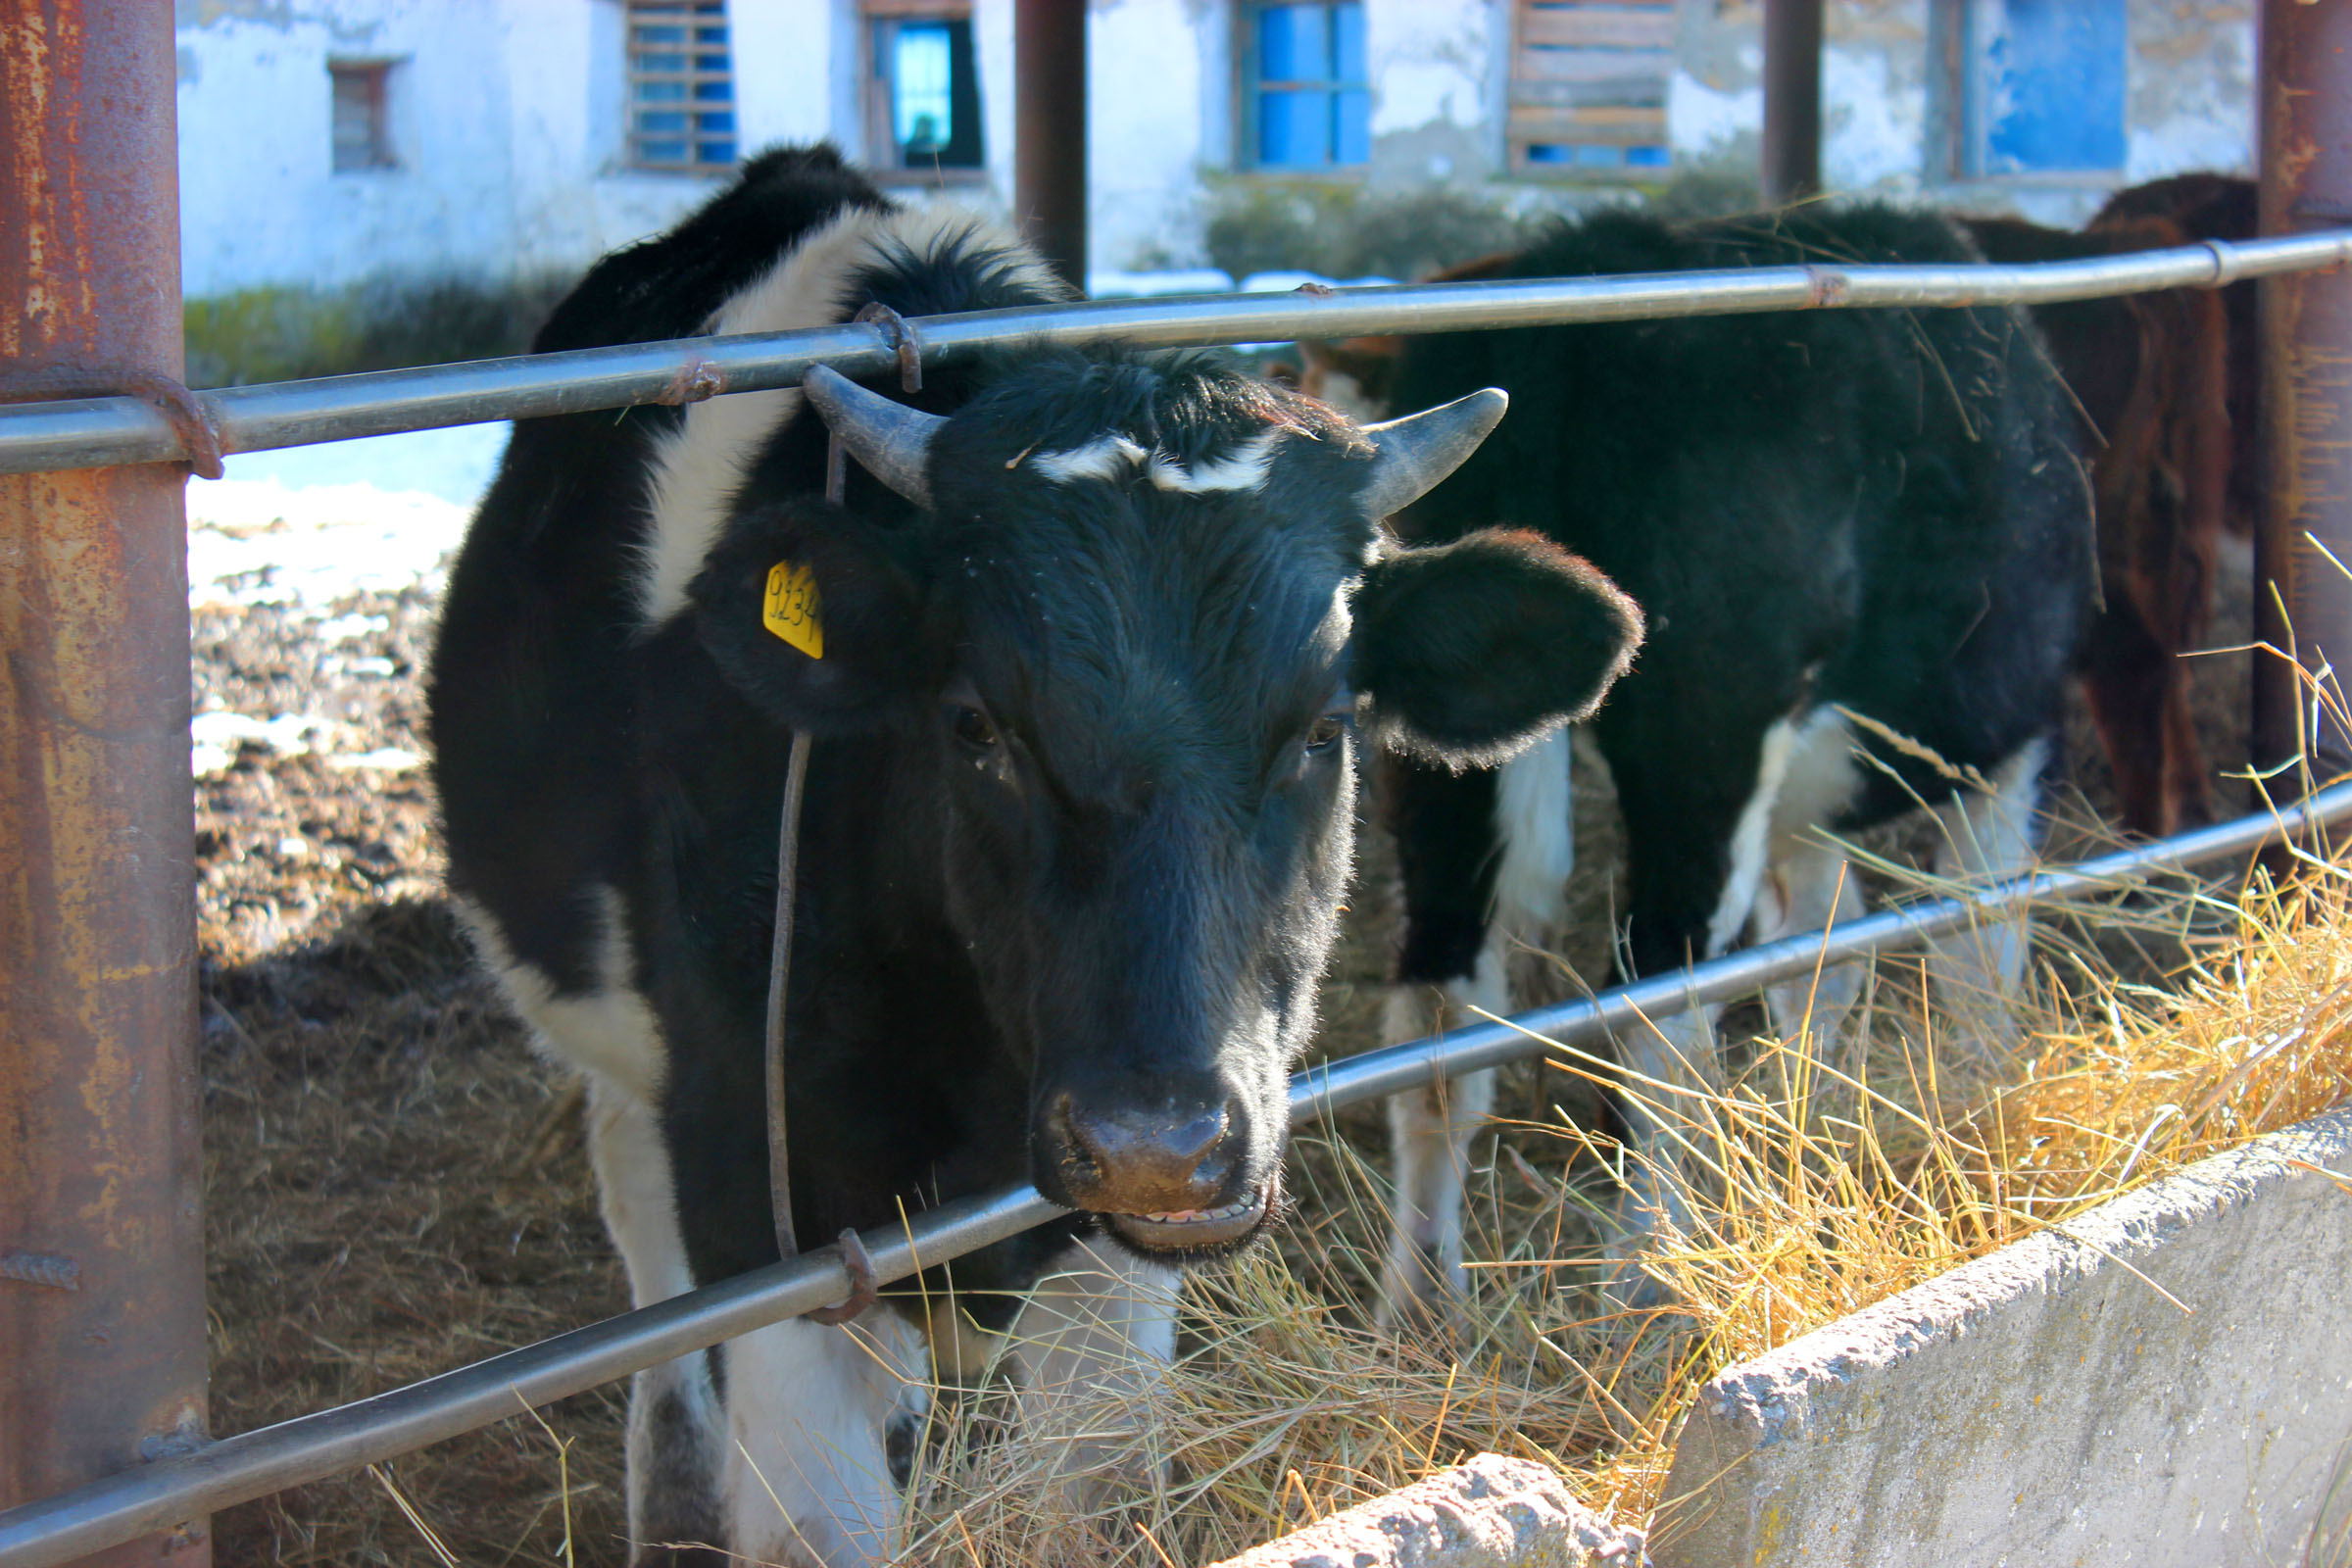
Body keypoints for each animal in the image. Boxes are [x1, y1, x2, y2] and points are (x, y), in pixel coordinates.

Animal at [432, 143, 1637, 1568]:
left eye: (1327, 724)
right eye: (974, 724)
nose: (1159, 1143)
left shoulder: (1105, 1251)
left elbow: (1101, 1493)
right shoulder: (761, 1198)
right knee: (634, 1193)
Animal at [1345, 202, 2097, 1316]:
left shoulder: (1812, 820)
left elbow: (1819, 960)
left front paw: (1804, 1125)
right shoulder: (2010, 755)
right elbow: (1973, 952)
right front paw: (1980, 1089)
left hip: (1446, 727)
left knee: (1442, 1000)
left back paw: (1423, 1302)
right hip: (1707, 724)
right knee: (1659, 994)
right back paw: (1645, 1277)